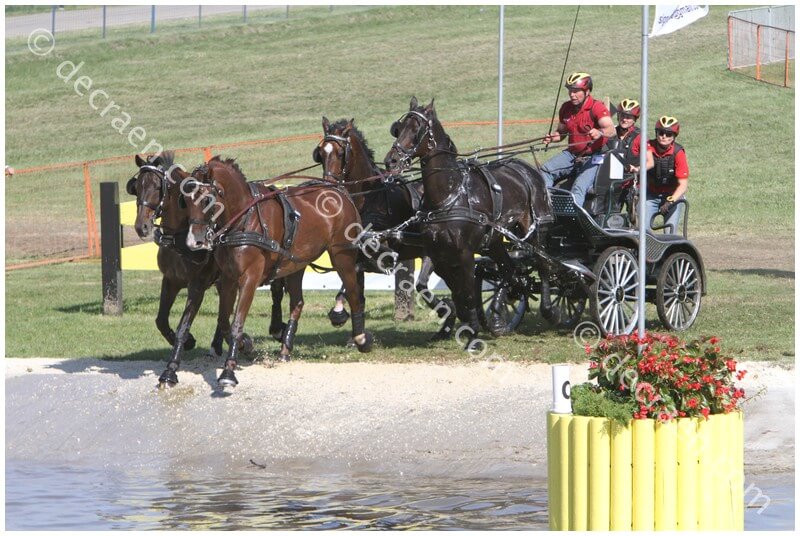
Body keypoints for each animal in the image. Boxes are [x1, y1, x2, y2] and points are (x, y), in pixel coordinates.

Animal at [126, 151, 255, 387]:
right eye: (136, 186)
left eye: (158, 186)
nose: (142, 227)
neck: (178, 237)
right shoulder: (170, 280)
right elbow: (161, 320)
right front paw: (188, 343)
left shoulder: (197, 285)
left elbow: (183, 325)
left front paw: (171, 370)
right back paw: (218, 345)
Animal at [183, 156, 373, 387]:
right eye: (185, 201)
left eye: (206, 200)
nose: (193, 242)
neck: (244, 220)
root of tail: (339, 191)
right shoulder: (228, 279)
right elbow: (224, 322)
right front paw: (247, 344)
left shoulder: (250, 278)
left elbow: (237, 323)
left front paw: (229, 372)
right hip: (296, 263)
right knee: (297, 302)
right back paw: (285, 348)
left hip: (341, 256)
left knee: (354, 294)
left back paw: (361, 339)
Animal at [311, 116, 456, 339]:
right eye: (320, 153)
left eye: (341, 153)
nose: (329, 187)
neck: (368, 198)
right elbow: (356, 290)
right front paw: (353, 332)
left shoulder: (383, 258)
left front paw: (339, 312)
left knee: (424, 285)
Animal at [383, 97, 563, 341]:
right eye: (398, 128)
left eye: (417, 129)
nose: (391, 161)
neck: (450, 195)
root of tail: (527, 168)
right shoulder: (436, 251)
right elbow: (442, 290)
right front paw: (454, 318)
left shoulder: (465, 253)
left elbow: (467, 293)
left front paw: (472, 331)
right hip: (495, 240)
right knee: (509, 270)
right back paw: (499, 312)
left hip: (537, 228)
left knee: (543, 264)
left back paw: (548, 311)